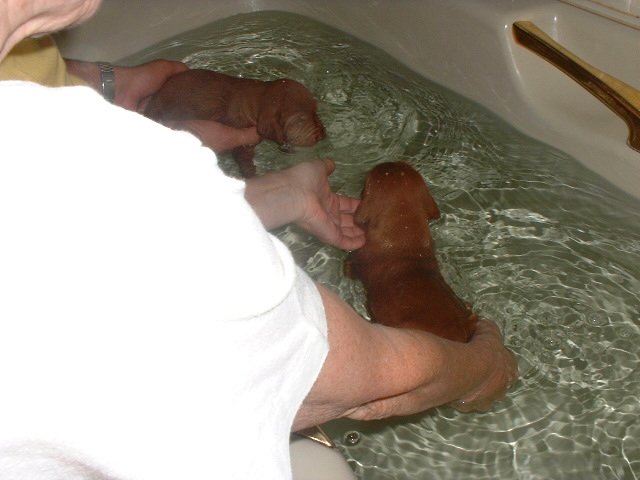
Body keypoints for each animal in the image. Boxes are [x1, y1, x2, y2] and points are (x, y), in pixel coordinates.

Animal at [144, 69, 324, 176]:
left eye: (316, 111)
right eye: (301, 119)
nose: (323, 135)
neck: (256, 100)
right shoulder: (241, 141)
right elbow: (244, 158)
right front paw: (251, 175)